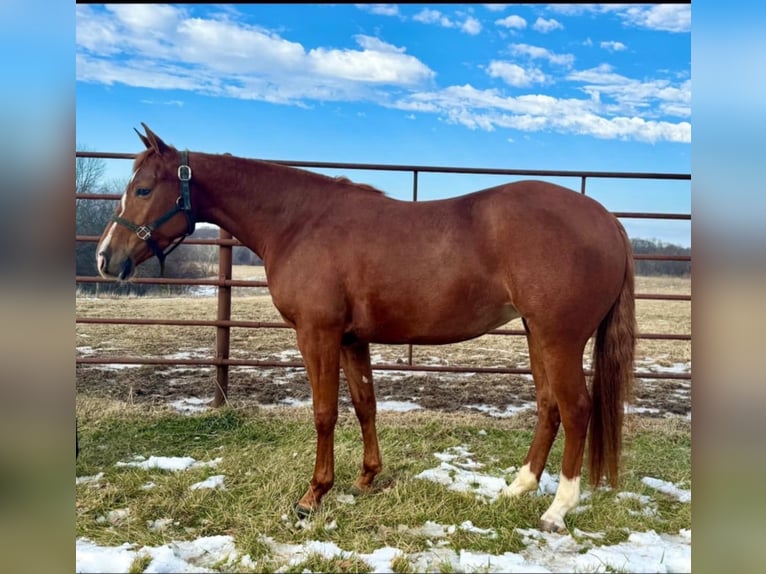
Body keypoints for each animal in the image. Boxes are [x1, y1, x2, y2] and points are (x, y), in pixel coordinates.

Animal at [96, 124, 636, 532]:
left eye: (143, 189)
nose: (105, 258)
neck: (299, 223)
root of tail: (607, 219)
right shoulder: (352, 338)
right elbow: (364, 405)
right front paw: (365, 481)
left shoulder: (317, 334)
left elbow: (324, 413)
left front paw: (312, 496)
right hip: (535, 333)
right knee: (549, 406)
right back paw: (516, 488)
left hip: (559, 337)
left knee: (576, 408)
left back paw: (557, 509)